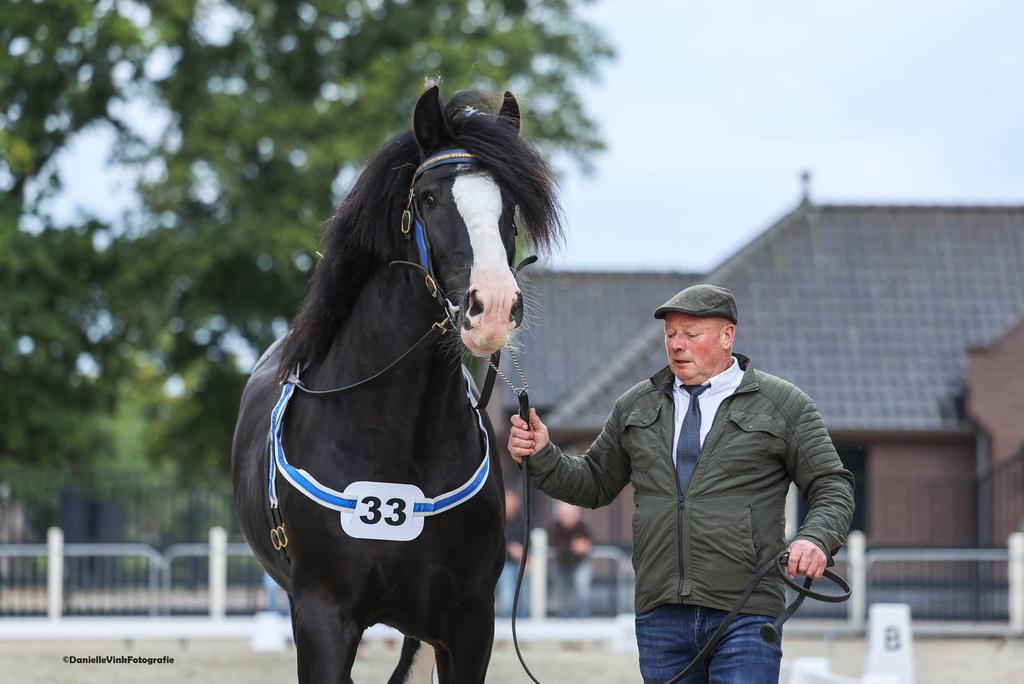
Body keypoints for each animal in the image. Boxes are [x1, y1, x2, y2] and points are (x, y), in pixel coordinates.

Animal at [231, 85, 561, 683]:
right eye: (427, 199)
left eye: (510, 205)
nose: (493, 308)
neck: (395, 438)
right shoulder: (323, 617)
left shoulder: (469, 624)